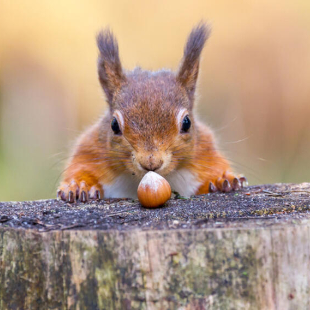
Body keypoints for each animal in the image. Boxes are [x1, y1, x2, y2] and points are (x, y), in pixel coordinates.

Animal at [57, 21, 247, 201]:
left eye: (187, 123)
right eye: (114, 125)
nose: (151, 162)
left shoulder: (205, 151)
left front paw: (223, 179)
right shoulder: (90, 150)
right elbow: (81, 168)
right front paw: (78, 186)